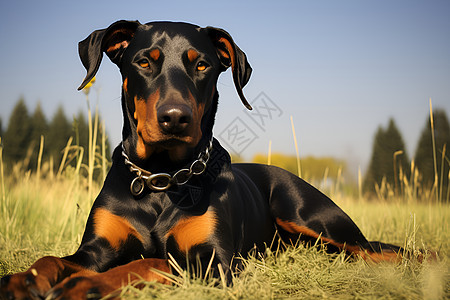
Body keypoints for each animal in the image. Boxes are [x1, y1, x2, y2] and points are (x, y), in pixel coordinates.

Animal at [0, 19, 408, 298]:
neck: (161, 176)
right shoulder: (97, 247)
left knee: (380, 249)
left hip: (308, 214)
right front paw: (22, 281)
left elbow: (151, 261)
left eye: (201, 65)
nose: (175, 118)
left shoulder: (215, 262)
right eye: (144, 62)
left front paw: (85, 285)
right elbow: (52, 259)